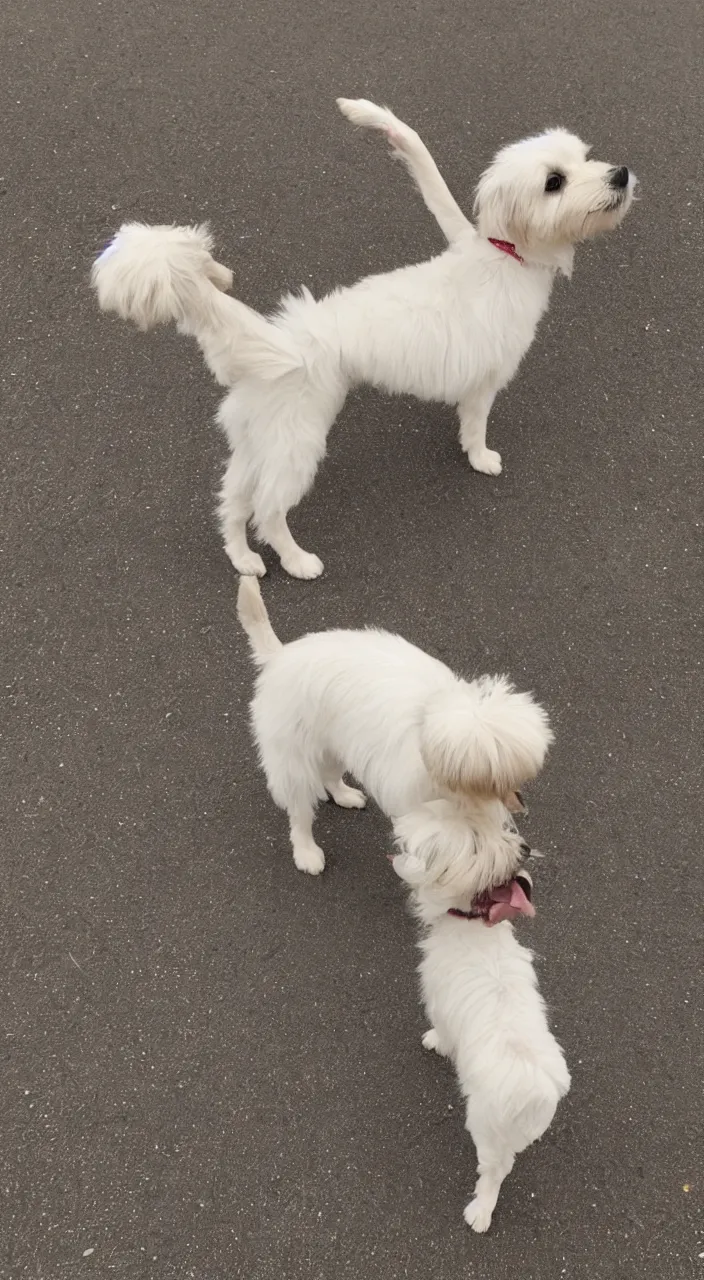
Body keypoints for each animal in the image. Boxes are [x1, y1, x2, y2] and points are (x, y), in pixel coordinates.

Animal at [90, 97, 637, 578]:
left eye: (585, 156)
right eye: (554, 182)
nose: (620, 174)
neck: (505, 257)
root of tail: (277, 341)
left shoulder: (456, 225)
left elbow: (419, 155)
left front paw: (368, 113)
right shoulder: (486, 380)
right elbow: (476, 425)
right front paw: (481, 459)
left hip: (259, 442)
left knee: (231, 504)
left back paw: (243, 559)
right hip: (298, 447)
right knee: (268, 512)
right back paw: (297, 561)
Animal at [234, 581, 555, 880]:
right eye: (494, 783)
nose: (519, 805)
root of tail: (279, 656)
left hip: (336, 742)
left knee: (330, 775)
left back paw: (345, 795)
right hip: (294, 760)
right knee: (299, 810)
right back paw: (307, 852)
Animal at [394, 808, 570, 1228]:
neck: (471, 924)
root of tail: (535, 1091)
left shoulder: (438, 1002)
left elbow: (441, 1031)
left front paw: (435, 1042)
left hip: (486, 1127)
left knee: (494, 1170)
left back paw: (480, 1210)